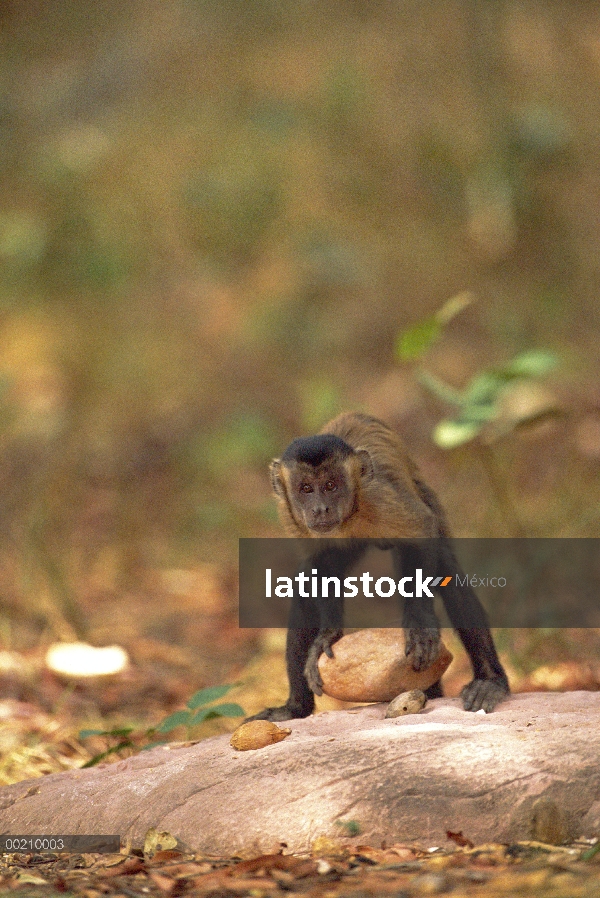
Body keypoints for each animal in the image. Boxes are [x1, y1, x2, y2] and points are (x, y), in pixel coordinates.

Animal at [250, 410, 510, 716]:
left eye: (330, 486)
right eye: (306, 489)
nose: (320, 508)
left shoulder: (379, 497)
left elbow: (421, 531)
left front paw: (420, 625)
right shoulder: (291, 517)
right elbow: (320, 567)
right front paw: (328, 634)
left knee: (446, 569)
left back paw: (489, 682)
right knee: (306, 586)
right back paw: (295, 708)